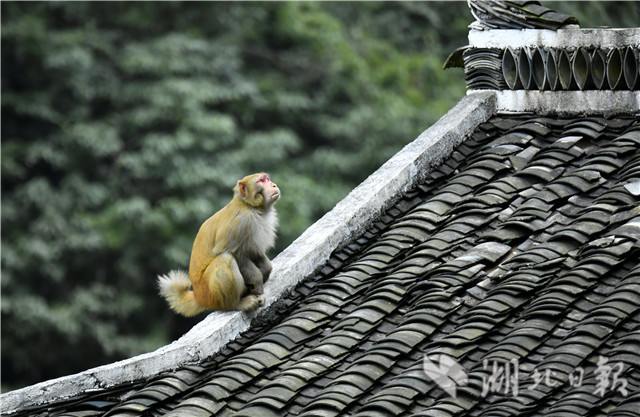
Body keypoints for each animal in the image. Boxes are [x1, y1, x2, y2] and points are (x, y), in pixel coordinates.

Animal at [156, 172, 278, 316]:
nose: (274, 185)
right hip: (210, 293)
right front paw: (258, 285)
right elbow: (231, 253)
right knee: (225, 259)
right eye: (261, 181)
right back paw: (235, 304)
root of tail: (198, 296)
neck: (250, 206)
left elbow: (253, 252)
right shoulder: (241, 223)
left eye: (267, 179)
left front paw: (265, 270)